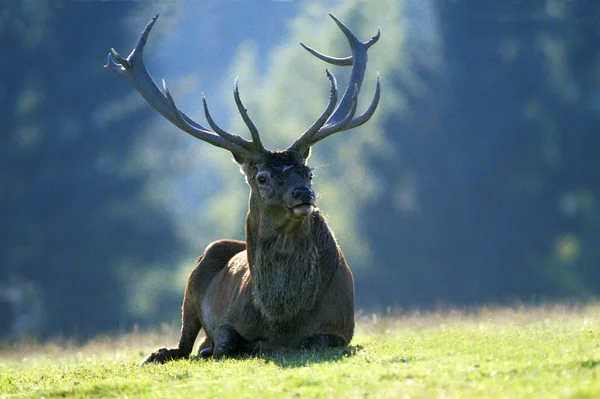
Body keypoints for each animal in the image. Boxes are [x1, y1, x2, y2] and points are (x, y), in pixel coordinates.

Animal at [104, 13, 380, 362]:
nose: (303, 194)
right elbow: (223, 343)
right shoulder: (228, 319)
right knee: (184, 343)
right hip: (192, 284)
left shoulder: (342, 328)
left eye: (309, 173)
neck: (281, 320)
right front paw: (223, 348)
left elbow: (313, 341)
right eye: (262, 177)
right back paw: (158, 353)